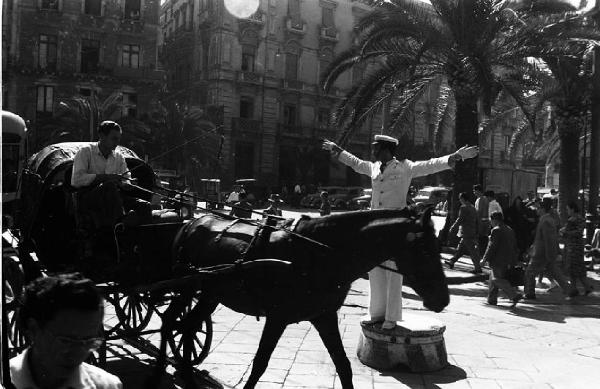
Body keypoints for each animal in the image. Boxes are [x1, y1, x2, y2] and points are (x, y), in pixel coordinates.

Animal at [152, 209, 448, 388]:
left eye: (438, 247)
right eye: (424, 249)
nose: (443, 299)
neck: (318, 253)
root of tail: (191, 222)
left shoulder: (324, 316)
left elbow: (343, 365)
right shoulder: (277, 317)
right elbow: (260, 364)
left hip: (209, 294)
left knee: (183, 325)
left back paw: (182, 372)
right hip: (188, 288)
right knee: (174, 322)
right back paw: (162, 371)